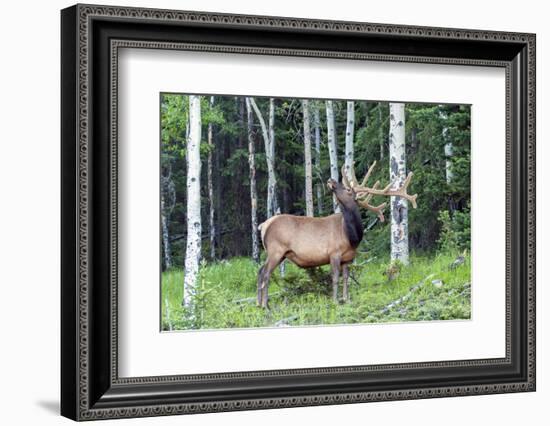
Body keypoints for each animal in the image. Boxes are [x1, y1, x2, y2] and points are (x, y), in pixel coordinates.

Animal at [258, 161, 418, 308]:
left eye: (347, 189)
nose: (331, 180)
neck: (352, 237)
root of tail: (264, 225)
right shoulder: (334, 252)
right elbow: (335, 277)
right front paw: (335, 300)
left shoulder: (348, 258)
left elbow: (346, 277)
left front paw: (345, 299)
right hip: (276, 250)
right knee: (265, 273)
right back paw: (265, 305)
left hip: (280, 254)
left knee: (260, 271)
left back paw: (258, 304)